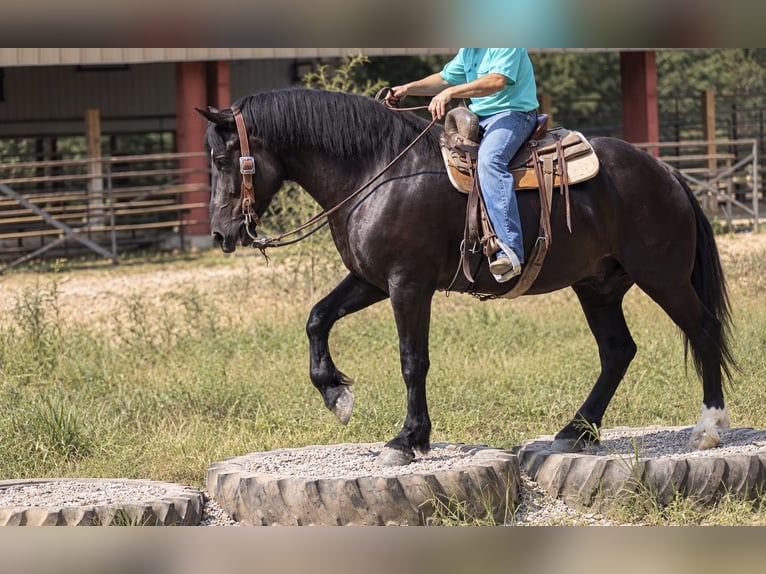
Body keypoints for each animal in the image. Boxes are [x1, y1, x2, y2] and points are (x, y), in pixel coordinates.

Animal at [197, 87, 736, 466]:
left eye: (223, 160)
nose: (221, 233)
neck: (376, 172)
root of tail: (665, 171)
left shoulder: (408, 285)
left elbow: (413, 361)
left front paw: (408, 439)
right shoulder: (371, 280)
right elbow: (317, 318)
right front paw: (336, 395)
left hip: (662, 276)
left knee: (703, 330)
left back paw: (708, 428)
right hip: (597, 287)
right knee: (618, 351)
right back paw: (574, 433)